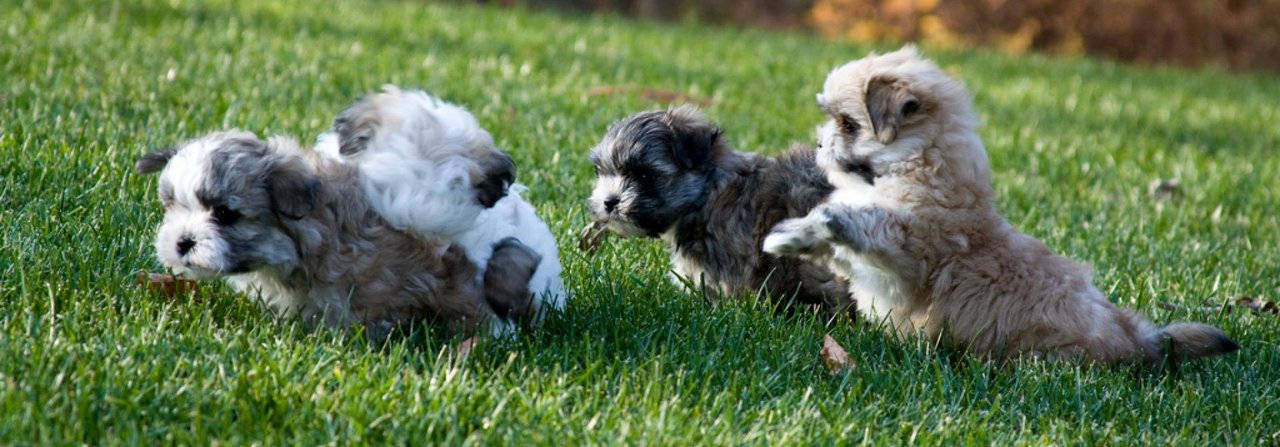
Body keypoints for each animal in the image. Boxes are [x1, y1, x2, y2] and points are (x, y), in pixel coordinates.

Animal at [762, 46, 1233, 366]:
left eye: (848, 124)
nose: (819, 143)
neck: (914, 165)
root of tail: (1140, 339)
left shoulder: (908, 253)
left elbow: (856, 222)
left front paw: (801, 229)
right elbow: (834, 243)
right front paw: (793, 236)